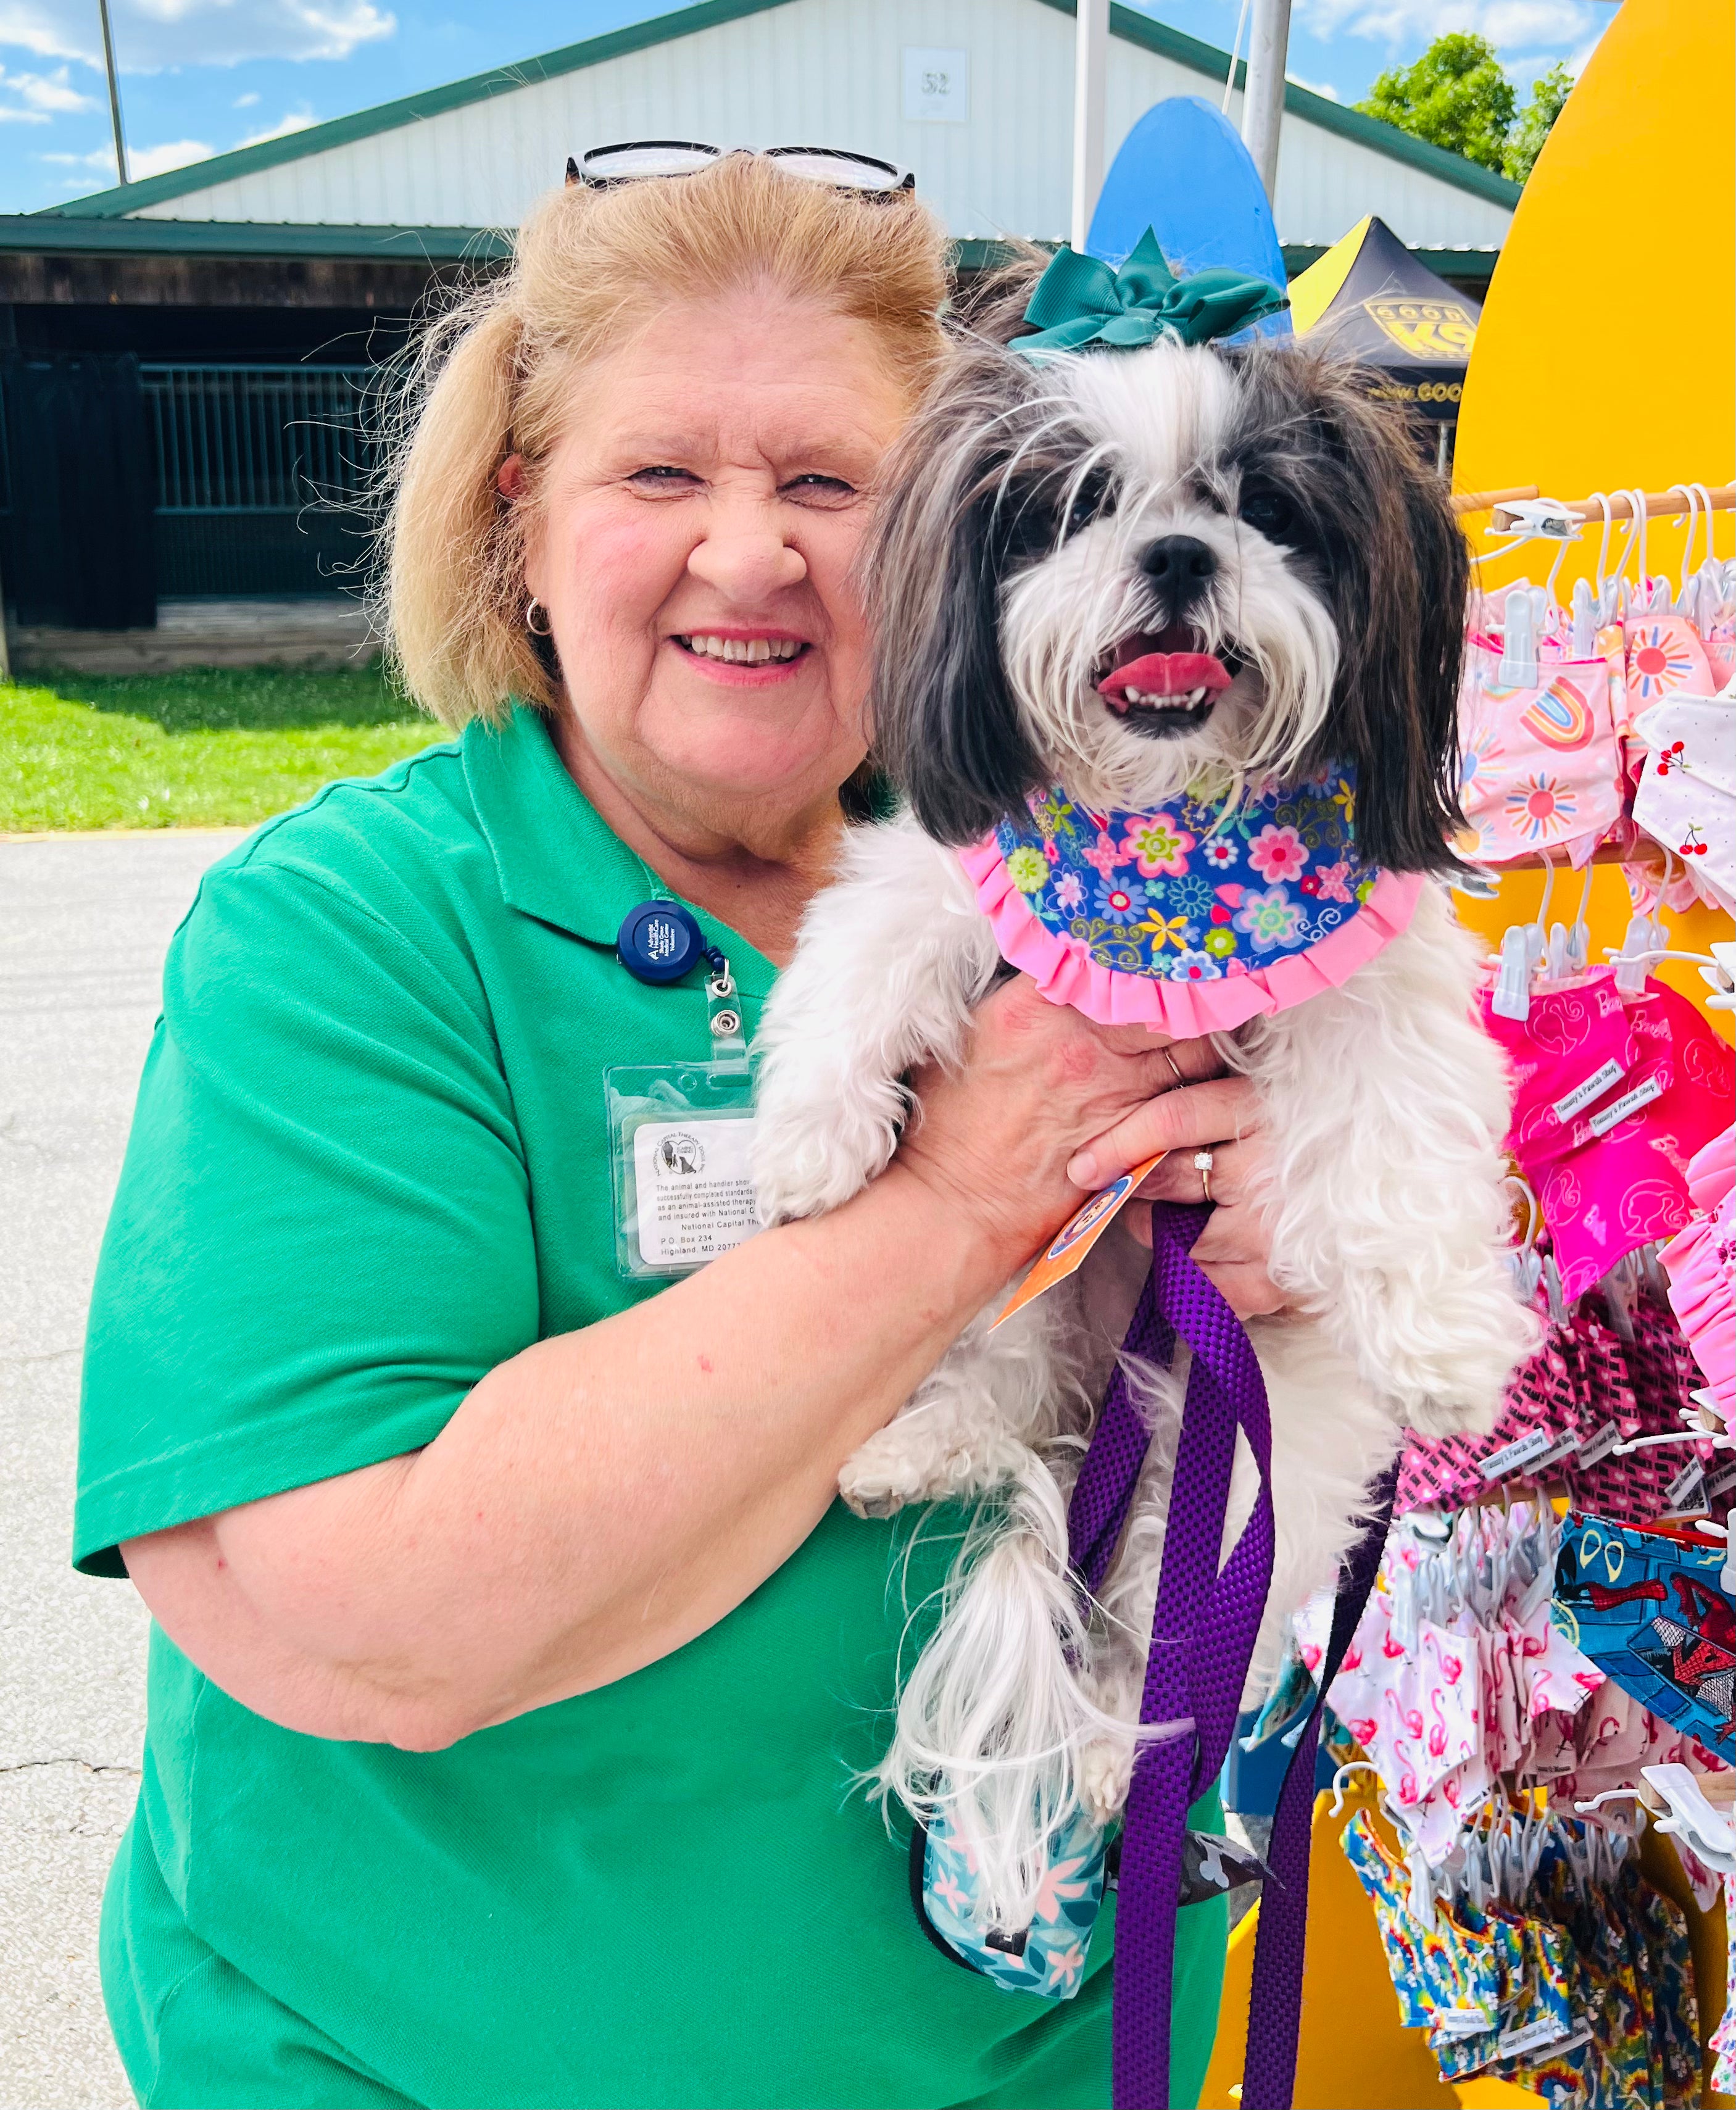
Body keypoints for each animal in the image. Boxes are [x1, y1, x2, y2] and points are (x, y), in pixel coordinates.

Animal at [750, 305, 1535, 1932]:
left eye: (1265, 508)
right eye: (1077, 504)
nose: (1177, 552)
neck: (1165, 841)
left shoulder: (1377, 991)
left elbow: (1392, 1134)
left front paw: (1440, 1343)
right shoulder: (949, 874)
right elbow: (864, 958)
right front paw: (804, 1143)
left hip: (1237, 1470)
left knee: (1154, 1635)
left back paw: (1121, 1749)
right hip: (1016, 1306)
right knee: (996, 1408)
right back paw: (914, 1453)